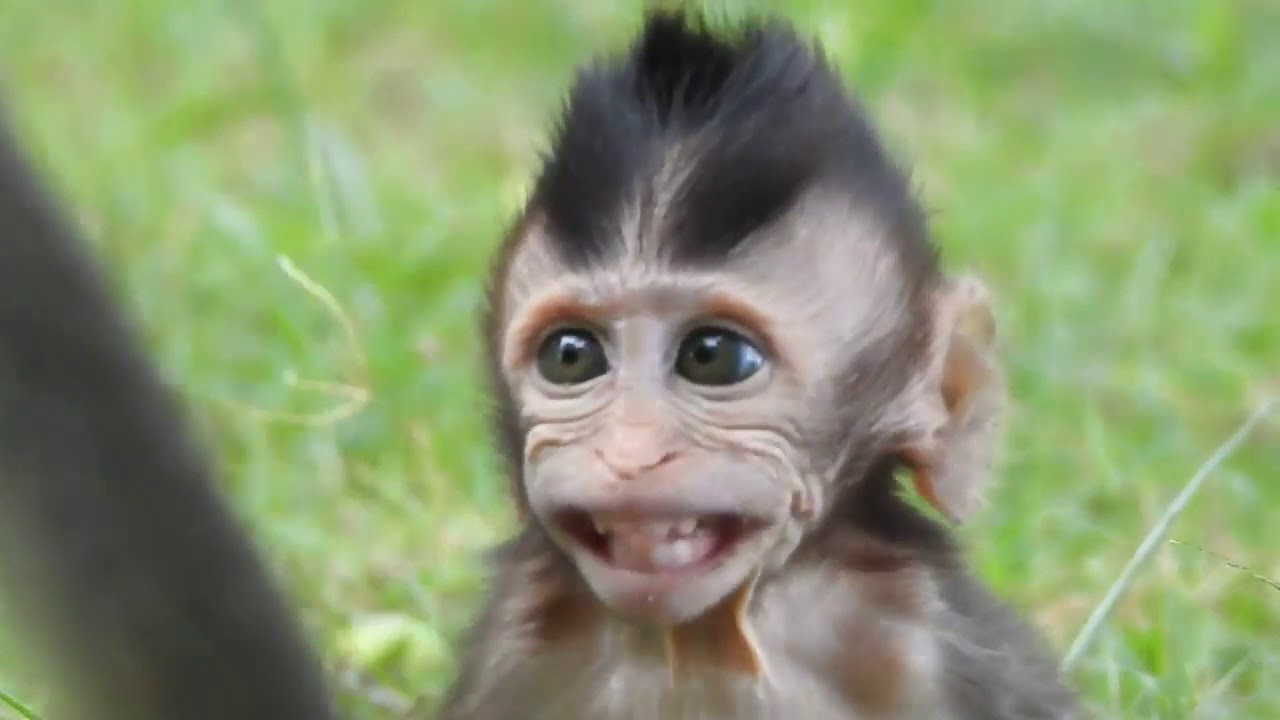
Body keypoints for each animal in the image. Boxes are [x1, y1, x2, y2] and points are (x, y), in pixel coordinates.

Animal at [436, 10, 1081, 720]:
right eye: (571, 356)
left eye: (712, 357)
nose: (629, 453)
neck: (694, 640)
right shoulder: (510, 650)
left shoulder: (932, 645)